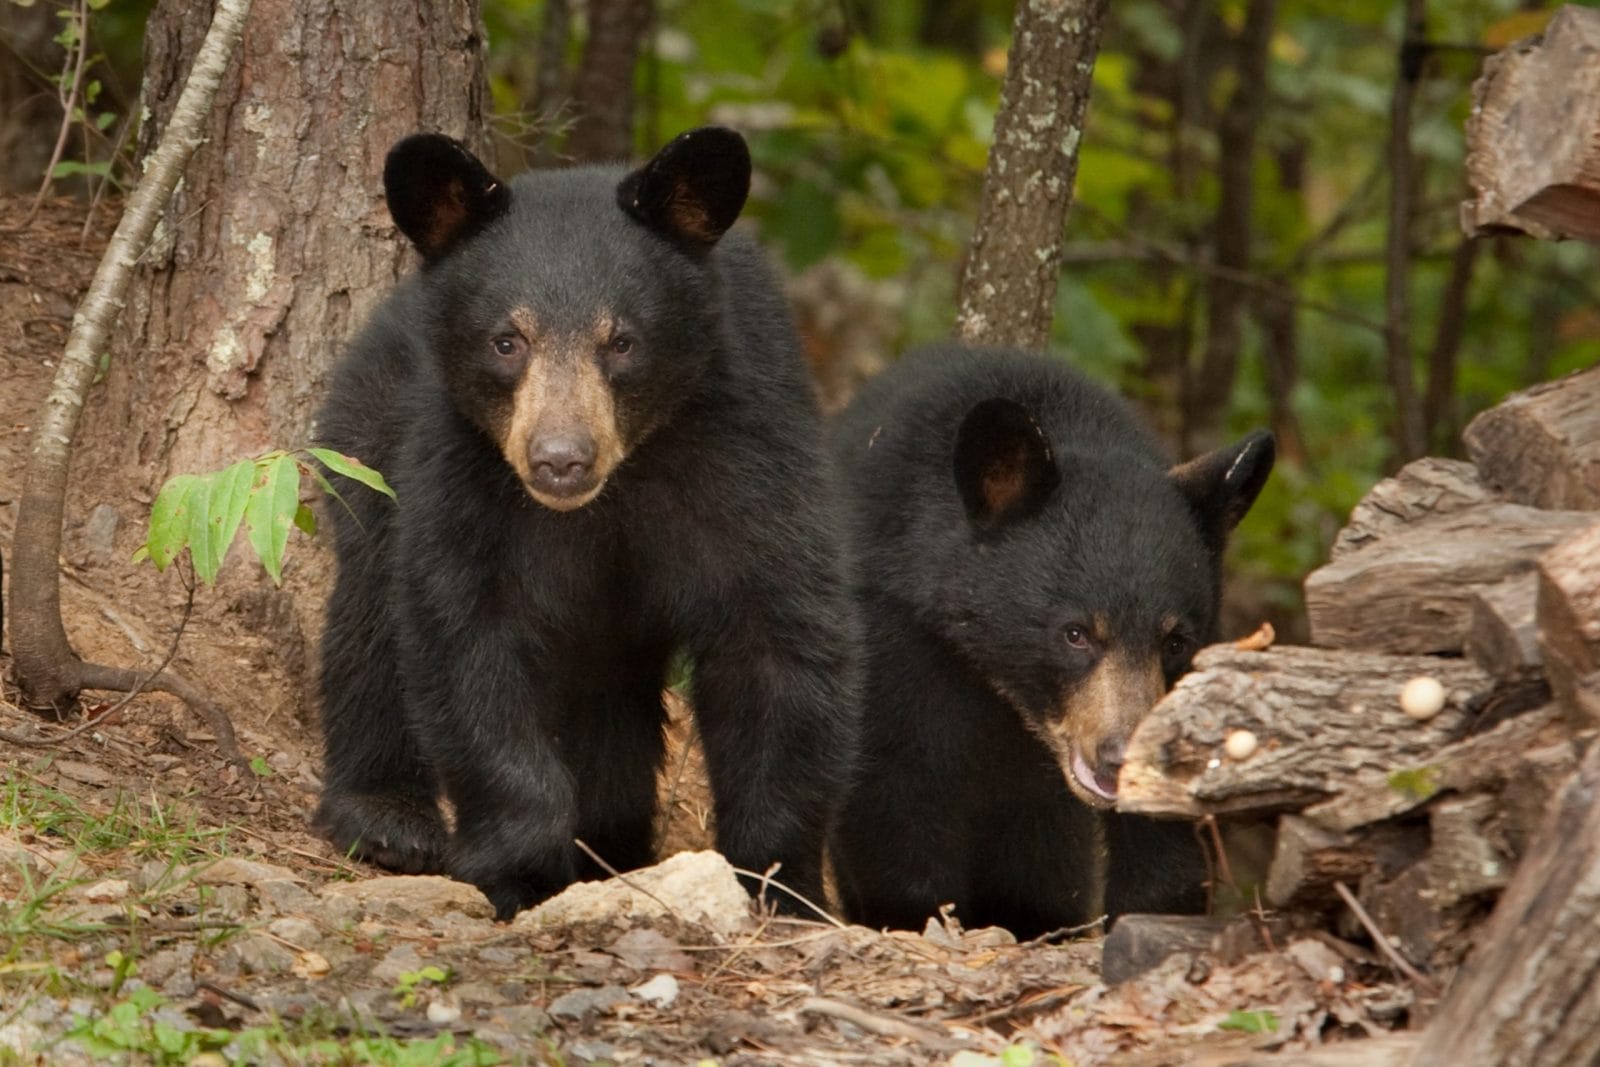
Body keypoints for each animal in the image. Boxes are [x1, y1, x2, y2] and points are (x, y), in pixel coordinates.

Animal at [313, 127, 859, 921]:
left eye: (621, 341)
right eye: (507, 340)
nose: (560, 460)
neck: (614, 490)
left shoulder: (747, 454)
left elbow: (777, 642)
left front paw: (781, 886)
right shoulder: (462, 475)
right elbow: (468, 641)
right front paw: (518, 868)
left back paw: (613, 838)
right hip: (367, 440)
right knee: (368, 619)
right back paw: (388, 817)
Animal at [827, 343, 1274, 939]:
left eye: (1176, 641)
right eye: (1075, 633)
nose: (1118, 757)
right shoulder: (894, 640)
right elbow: (893, 790)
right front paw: (913, 915)